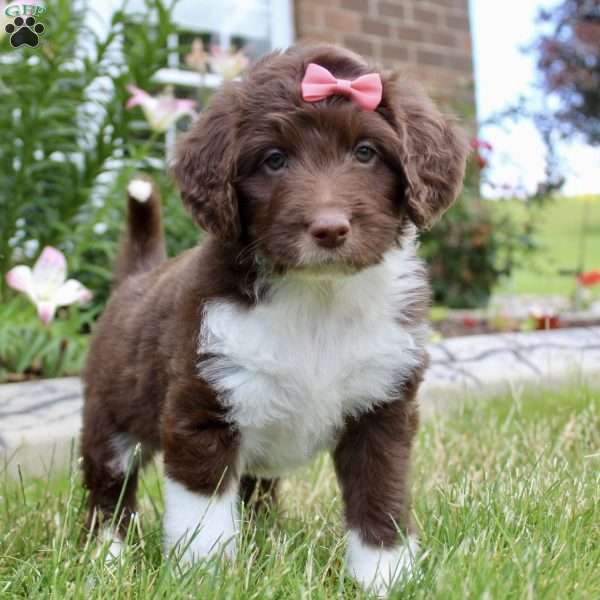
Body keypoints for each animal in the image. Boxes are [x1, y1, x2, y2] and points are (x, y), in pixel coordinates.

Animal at [82, 43, 468, 596]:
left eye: (366, 152)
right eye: (274, 160)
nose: (329, 229)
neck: (318, 297)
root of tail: (139, 275)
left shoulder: (383, 406)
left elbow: (380, 496)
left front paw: (384, 575)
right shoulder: (203, 410)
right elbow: (204, 518)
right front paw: (206, 579)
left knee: (255, 490)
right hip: (110, 417)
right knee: (108, 492)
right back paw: (104, 561)